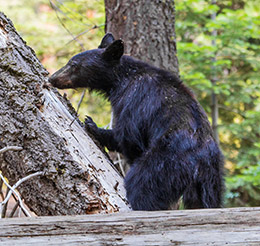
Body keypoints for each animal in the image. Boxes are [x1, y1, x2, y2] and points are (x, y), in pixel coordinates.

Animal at [49, 32, 224, 209]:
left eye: (73, 64)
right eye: (70, 61)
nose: (52, 78)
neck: (120, 79)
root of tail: (201, 160)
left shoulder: (133, 101)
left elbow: (129, 136)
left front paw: (94, 126)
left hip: (165, 162)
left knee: (142, 186)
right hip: (211, 182)